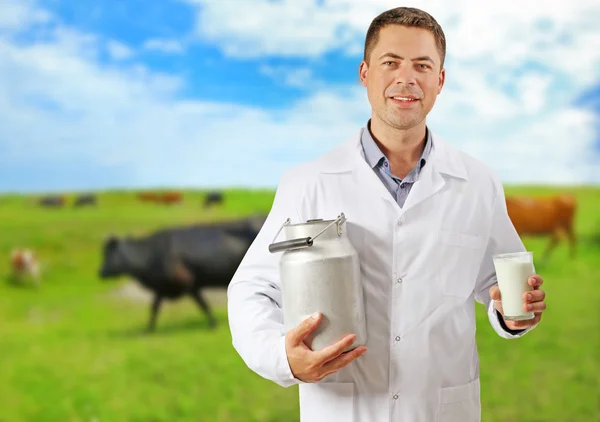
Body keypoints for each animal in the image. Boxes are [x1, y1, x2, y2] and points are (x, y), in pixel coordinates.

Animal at [99, 216, 268, 332]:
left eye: (109, 253)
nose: (100, 272)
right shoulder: (161, 287)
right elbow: (154, 308)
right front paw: (149, 329)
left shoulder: (189, 283)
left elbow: (203, 304)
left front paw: (213, 324)